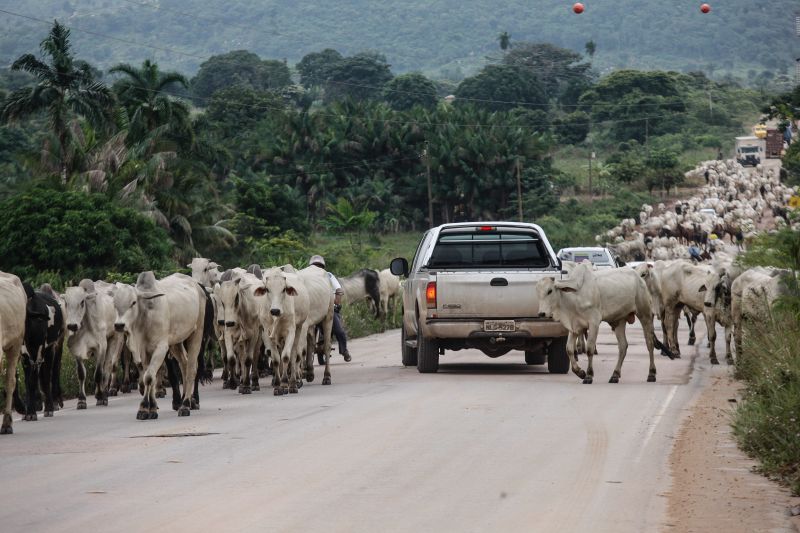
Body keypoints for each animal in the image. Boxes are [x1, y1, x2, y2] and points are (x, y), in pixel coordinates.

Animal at [64, 278, 124, 408]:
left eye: (82, 302)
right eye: (66, 303)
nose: (72, 325)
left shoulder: (101, 347)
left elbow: (98, 373)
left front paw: (102, 397)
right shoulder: (77, 350)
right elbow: (81, 374)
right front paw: (81, 400)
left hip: (114, 339)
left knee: (108, 366)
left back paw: (105, 393)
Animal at [113, 272, 208, 418]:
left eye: (133, 302)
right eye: (115, 303)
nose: (119, 325)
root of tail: (197, 286)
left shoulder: (161, 348)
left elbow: (149, 377)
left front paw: (145, 407)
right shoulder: (143, 351)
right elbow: (148, 376)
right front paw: (150, 408)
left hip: (196, 333)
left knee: (192, 368)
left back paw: (186, 405)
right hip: (175, 342)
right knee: (184, 364)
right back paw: (186, 400)